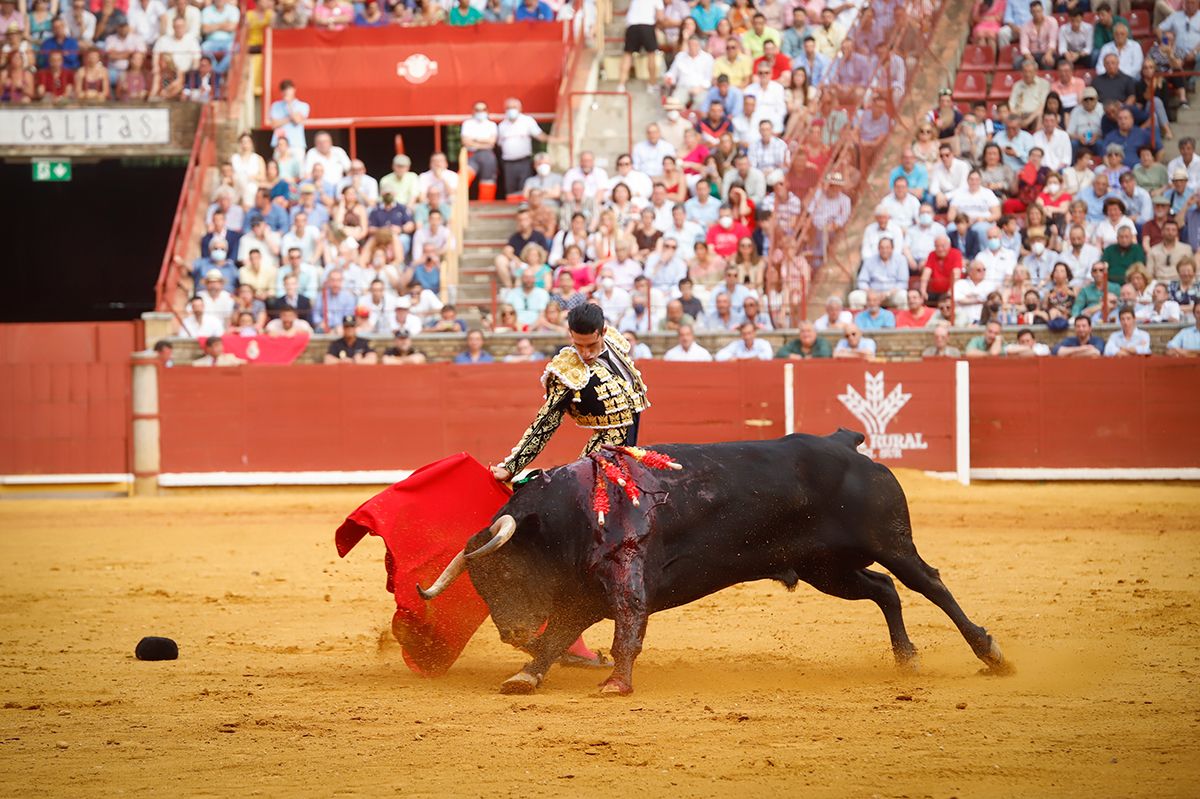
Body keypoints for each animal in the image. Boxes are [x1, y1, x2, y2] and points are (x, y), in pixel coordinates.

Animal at [417, 429, 1008, 691]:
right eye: (479, 584)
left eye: (503, 570)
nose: (511, 633)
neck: (572, 512)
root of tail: (845, 443)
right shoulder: (584, 594)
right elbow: (559, 634)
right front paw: (526, 673)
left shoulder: (626, 580)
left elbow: (626, 631)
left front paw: (617, 683)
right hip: (826, 569)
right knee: (885, 590)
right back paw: (907, 658)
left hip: (889, 541)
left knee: (929, 583)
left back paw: (991, 653)